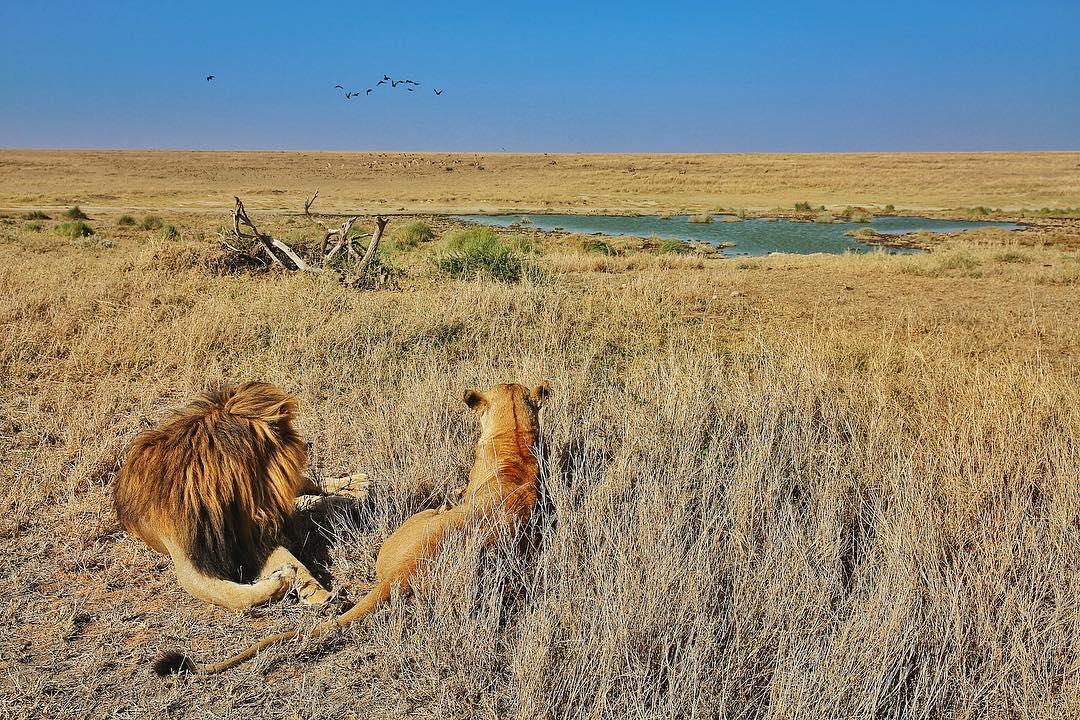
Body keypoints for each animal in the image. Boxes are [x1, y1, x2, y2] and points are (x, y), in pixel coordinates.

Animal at [114, 379, 367, 613]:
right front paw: (287, 582)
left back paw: (356, 486)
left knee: (309, 487)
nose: (307, 445)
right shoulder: (190, 561)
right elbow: (234, 596)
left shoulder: (253, 536)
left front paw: (319, 594)